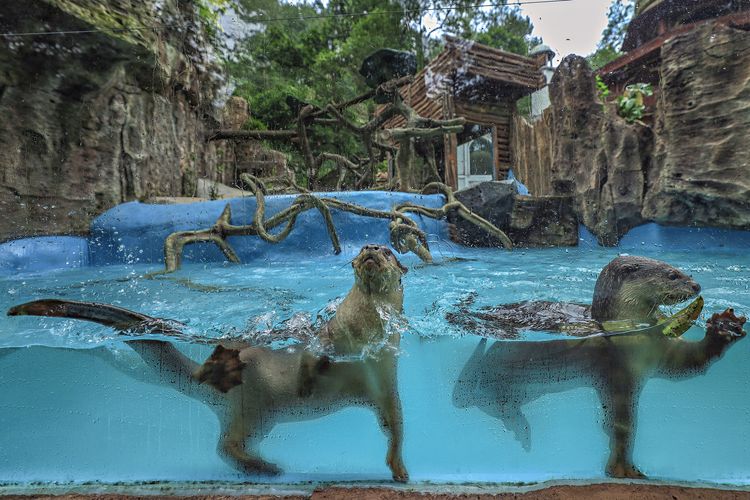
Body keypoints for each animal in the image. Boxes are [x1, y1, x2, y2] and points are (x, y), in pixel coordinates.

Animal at [7, 244, 412, 482]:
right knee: (225, 445)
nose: (372, 248)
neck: (363, 333)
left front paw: (400, 469)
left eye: (389, 250)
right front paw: (306, 384)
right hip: (254, 405)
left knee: (226, 444)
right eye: (366, 247)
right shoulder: (325, 336)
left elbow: (394, 420)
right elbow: (311, 358)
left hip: (257, 416)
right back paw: (265, 466)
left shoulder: (384, 377)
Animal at [452, 306, 748, 478]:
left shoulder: (660, 356)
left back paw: (521, 431)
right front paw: (623, 468)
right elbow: (621, 423)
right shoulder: (620, 369)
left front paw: (726, 328)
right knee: (476, 398)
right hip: (491, 384)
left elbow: (689, 364)